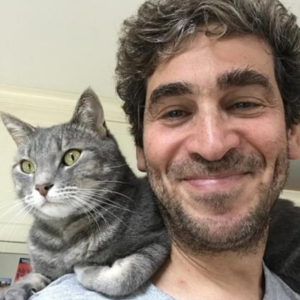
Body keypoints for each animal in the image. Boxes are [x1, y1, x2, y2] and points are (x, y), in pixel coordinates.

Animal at [0, 88, 169, 300]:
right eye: (27, 166)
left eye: (71, 156)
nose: (41, 186)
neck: (64, 239)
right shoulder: (44, 270)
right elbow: (31, 276)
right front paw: (12, 291)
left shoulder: (157, 240)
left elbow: (124, 277)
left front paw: (85, 268)